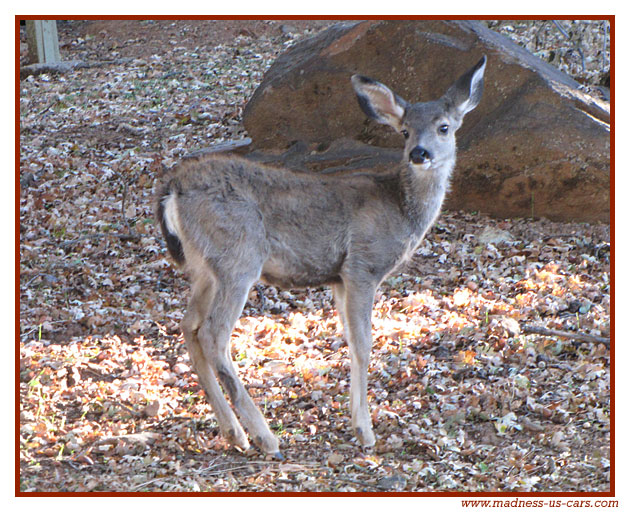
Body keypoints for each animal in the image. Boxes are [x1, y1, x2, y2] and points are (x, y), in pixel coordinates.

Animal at [157, 54, 488, 458]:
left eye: (444, 127)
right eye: (405, 131)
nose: (419, 154)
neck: (399, 208)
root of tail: (173, 189)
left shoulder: (339, 278)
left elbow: (348, 340)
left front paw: (356, 421)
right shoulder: (362, 266)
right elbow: (363, 343)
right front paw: (365, 431)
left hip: (205, 266)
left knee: (188, 324)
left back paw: (234, 433)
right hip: (238, 255)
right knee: (212, 333)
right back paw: (265, 437)